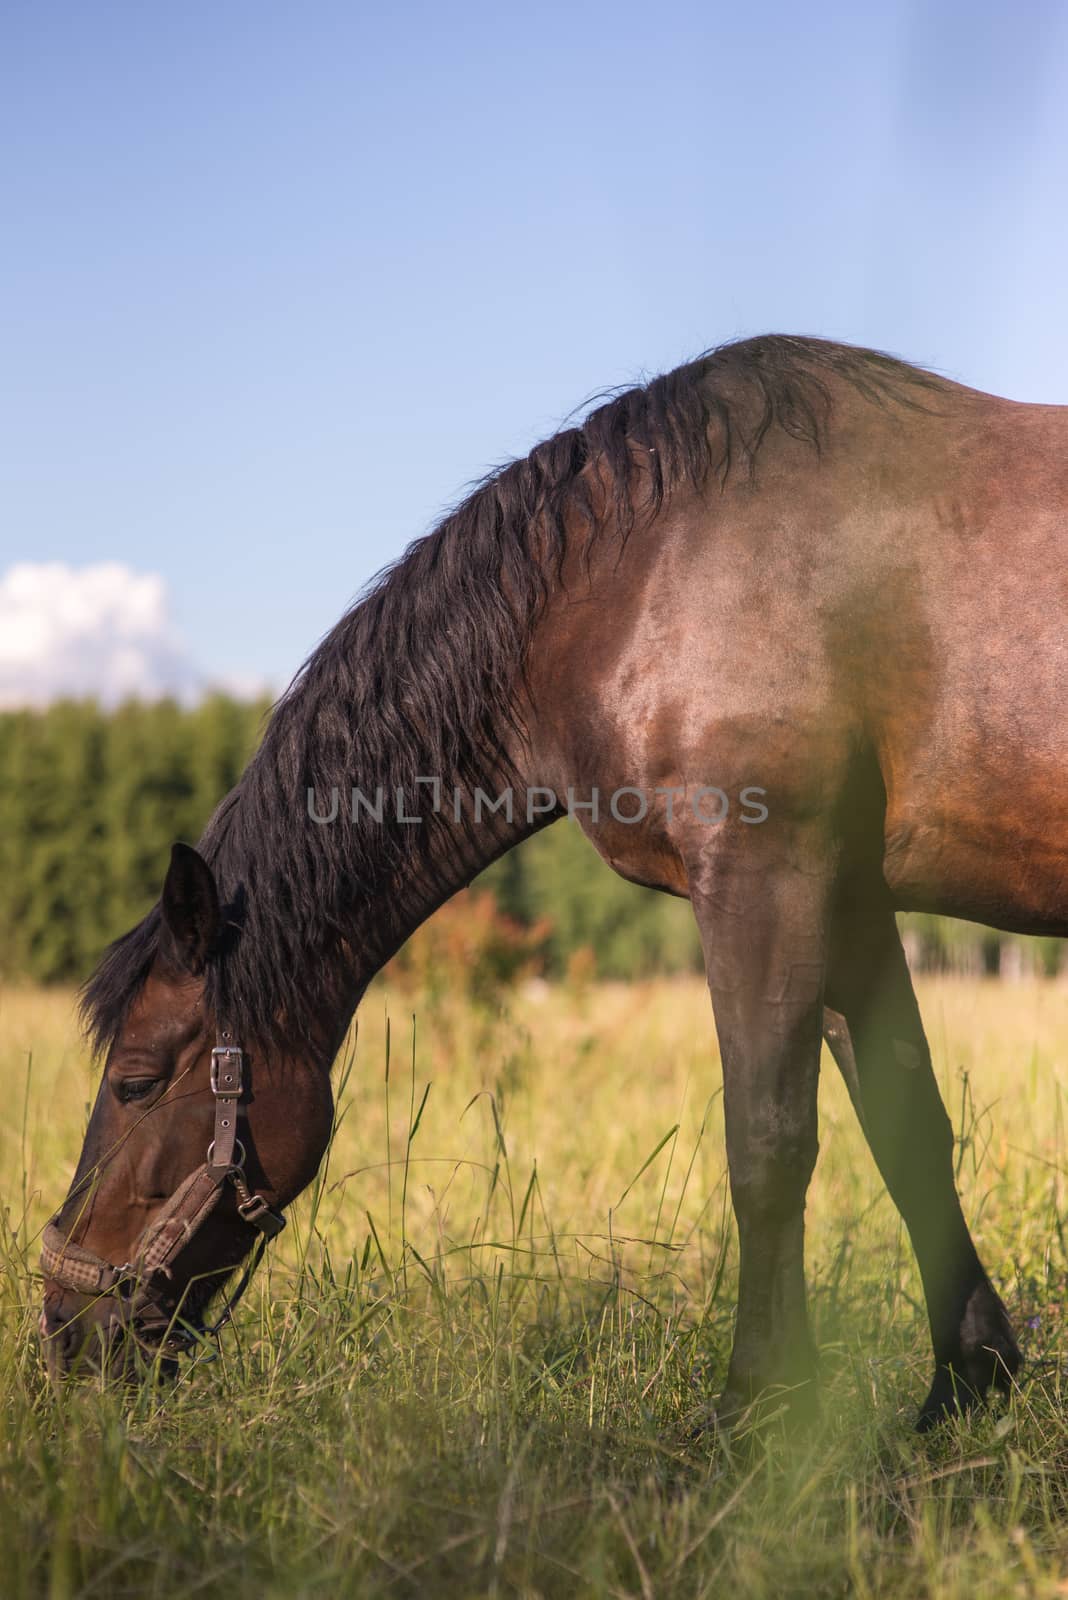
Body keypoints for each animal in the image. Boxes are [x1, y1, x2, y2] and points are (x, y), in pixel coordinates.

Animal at [37, 334, 1055, 1427]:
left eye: (136, 1082)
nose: (64, 1329)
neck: (633, 579)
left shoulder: (764, 875)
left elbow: (768, 1147)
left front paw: (753, 1404)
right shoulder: (850, 898)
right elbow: (908, 1130)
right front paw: (967, 1383)